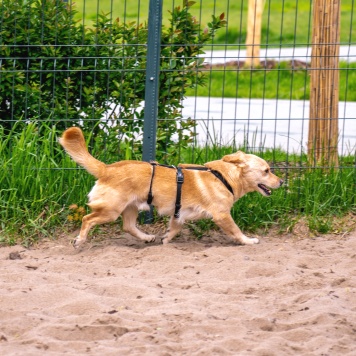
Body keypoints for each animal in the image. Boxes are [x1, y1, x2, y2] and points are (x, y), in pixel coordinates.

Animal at [59, 127, 284, 248]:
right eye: (266, 170)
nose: (282, 182)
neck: (224, 177)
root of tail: (106, 169)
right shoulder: (222, 215)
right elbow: (236, 230)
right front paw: (248, 240)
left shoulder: (179, 213)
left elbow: (174, 229)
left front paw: (166, 239)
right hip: (110, 210)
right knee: (87, 219)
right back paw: (80, 240)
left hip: (130, 207)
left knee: (128, 226)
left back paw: (147, 237)